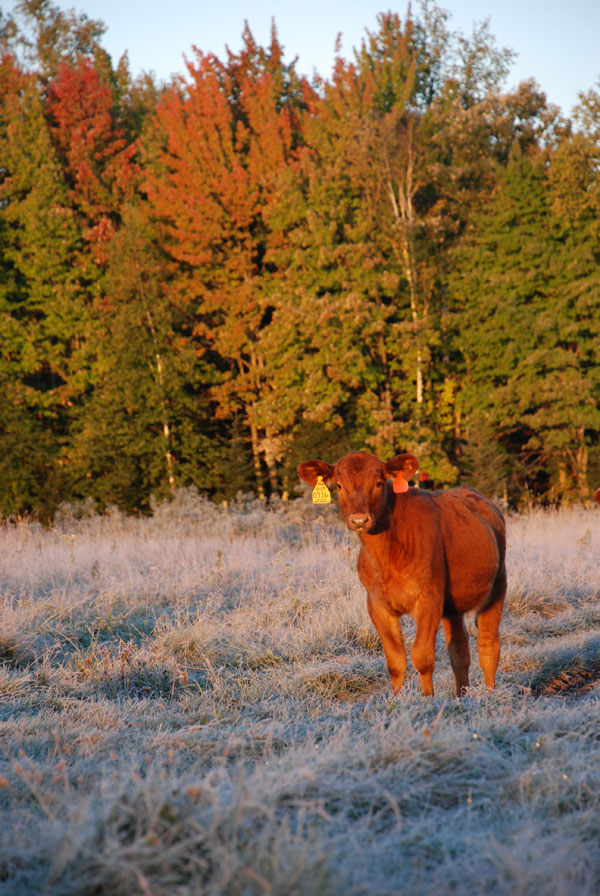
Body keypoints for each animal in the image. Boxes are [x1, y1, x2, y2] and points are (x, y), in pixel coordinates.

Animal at [298, 452, 506, 696]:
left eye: (379, 483)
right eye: (339, 485)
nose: (359, 519)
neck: (386, 558)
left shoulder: (429, 599)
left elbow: (422, 656)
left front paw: (427, 698)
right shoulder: (376, 604)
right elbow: (395, 660)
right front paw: (397, 699)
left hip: (498, 585)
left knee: (488, 645)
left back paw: (489, 694)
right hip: (453, 605)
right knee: (459, 649)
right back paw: (461, 696)